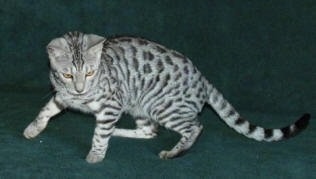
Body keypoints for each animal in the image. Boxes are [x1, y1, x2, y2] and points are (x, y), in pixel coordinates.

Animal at [22, 31, 312, 163]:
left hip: (162, 107)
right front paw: (32, 129)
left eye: (91, 72)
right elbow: (45, 111)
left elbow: (100, 134)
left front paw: (96, 154)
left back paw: (174, 152)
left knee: (195, 127)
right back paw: (121, 131)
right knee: (150, 131)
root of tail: (202, 77)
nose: (81, 88)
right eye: (68, 75)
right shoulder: (62, 96)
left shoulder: (110, 106)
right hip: (139, 106)